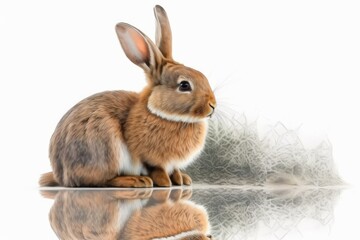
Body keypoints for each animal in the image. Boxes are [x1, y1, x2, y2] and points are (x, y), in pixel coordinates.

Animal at [38, 4, 217, 188]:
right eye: (184, 85)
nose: (212, 105)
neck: (161, 114)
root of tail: (62, 176)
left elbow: (174, 170)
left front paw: (182, 180)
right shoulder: (147, 156)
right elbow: (156, 168)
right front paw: (165, 183)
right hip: (105, 147)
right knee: (102, 180)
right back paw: (136, 180)